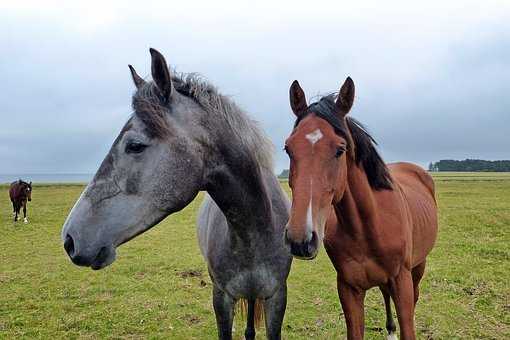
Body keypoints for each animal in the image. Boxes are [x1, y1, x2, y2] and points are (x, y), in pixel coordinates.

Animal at [282, 77, 438, 340]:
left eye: (340, 150)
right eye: (288, 148)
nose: (300, 239)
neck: (369, 226)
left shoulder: (402, 282)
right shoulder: (349, 289)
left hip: (418, 268)